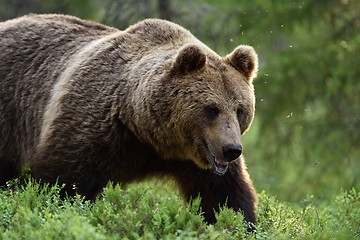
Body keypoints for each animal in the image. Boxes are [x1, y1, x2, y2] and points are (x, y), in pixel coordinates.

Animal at [0, 14, 258, 225]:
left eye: (239, 110)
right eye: (211, 109)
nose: (232, 150)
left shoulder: (197, 161)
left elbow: (226, 197)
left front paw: (238, 223)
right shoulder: (95, 127)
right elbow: (60, 181)